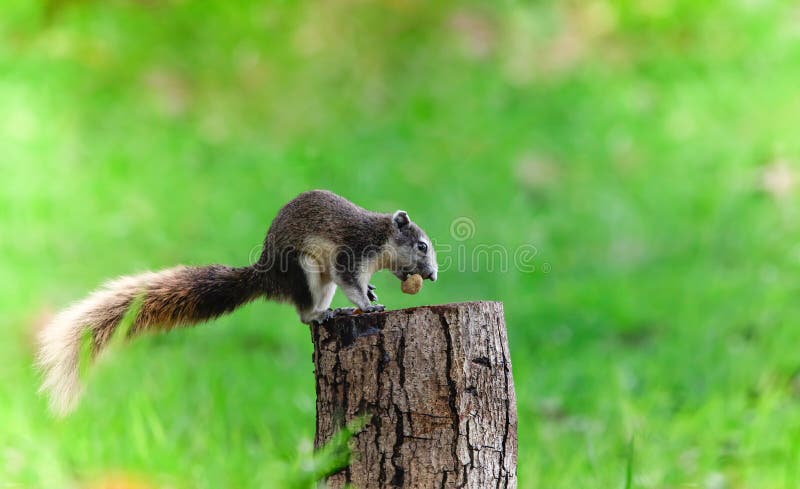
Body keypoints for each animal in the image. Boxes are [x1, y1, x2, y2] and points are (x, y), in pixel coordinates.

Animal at [37, 189, 438, 415]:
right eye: (421, 245)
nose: (432, 275)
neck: (379, 238)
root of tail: (266, 275)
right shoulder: (350, 254)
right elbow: (351, 282)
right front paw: (367, 305)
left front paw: (371, 294)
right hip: (306, 272)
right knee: (304, 312)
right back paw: (323, 314)